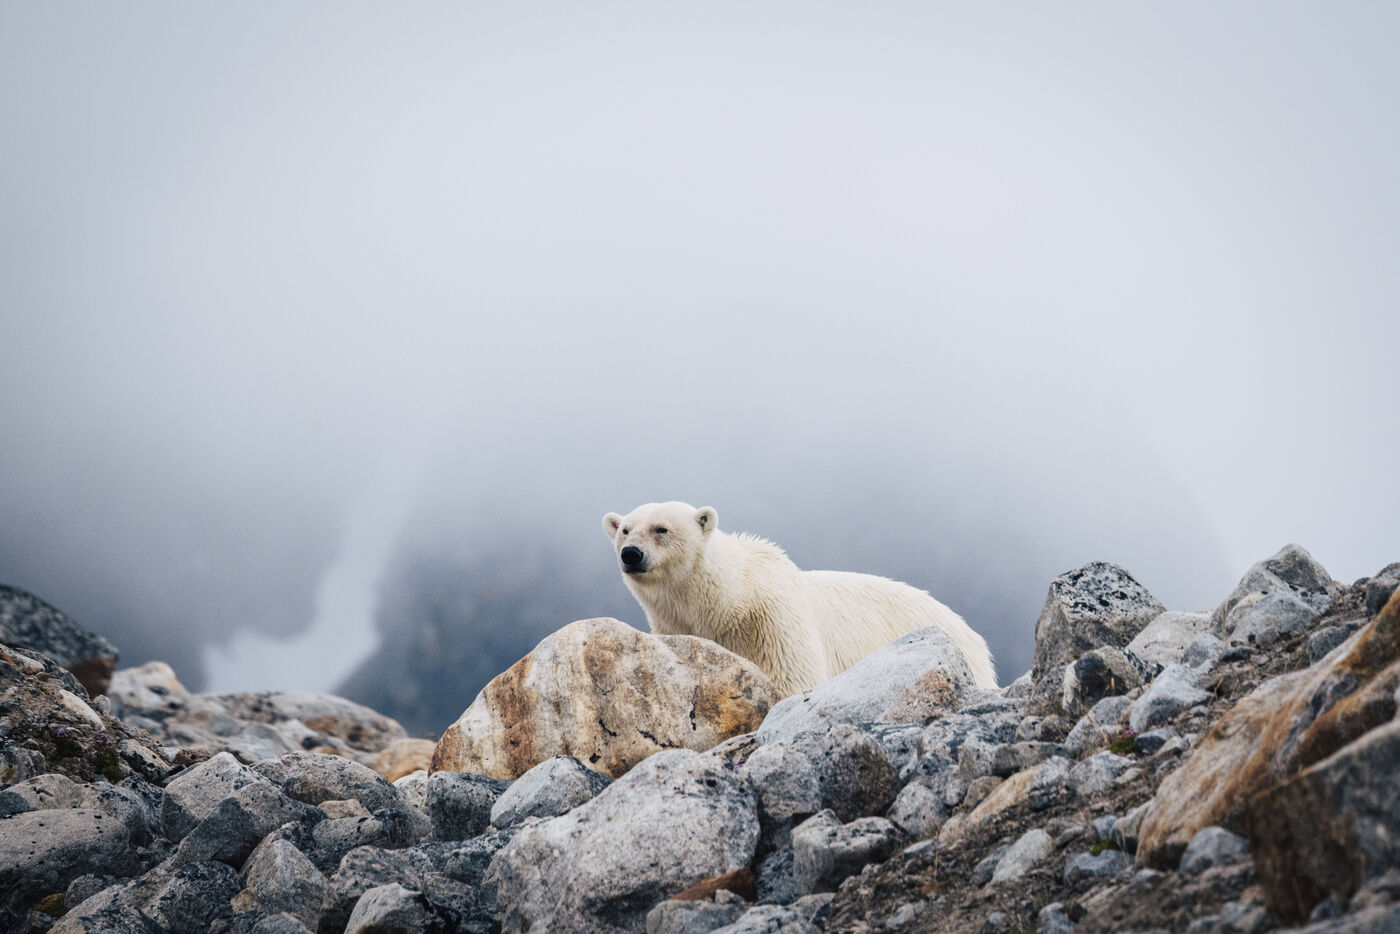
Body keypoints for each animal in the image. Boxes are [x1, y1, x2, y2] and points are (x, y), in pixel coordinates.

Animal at [602, 501, 996, 696]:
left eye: (661, 528)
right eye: (624, 529)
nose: (631, 554)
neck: (730, 600)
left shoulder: (774, 624)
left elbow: (793, 681)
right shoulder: (673, 628)